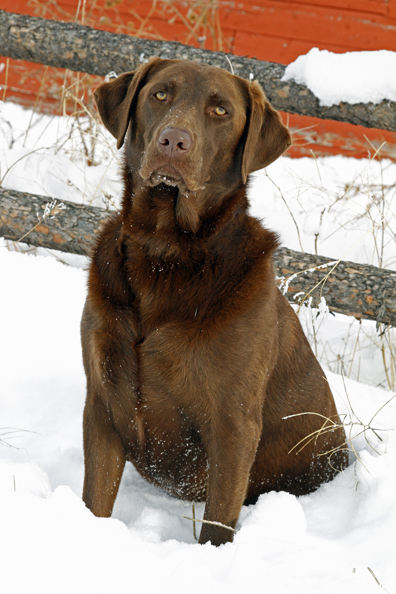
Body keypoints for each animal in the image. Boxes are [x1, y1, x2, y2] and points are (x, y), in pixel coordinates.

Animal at [81, 57, 346, 544]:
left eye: (221, 111)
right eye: (160, 94)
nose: (173, 140)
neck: (165, 255)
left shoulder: (234, 424)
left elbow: (218, 523)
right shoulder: (103, 401)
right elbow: (95, 502)